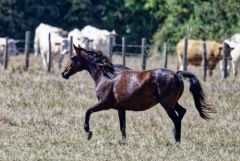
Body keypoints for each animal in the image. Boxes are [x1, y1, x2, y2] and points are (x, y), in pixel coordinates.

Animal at [62, 45, 216, 142]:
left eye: (73, 58)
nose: (63, 73)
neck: (107, 75)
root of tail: (177, 75)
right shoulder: (120, 108)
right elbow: (122, 127)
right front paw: (124, 142)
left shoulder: (104, 104)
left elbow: (88, 111)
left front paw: (88, 132)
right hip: (172, 103)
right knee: (182, 112)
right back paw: (174, 134)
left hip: (166, 104)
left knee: (176, 118)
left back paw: (177, 141)